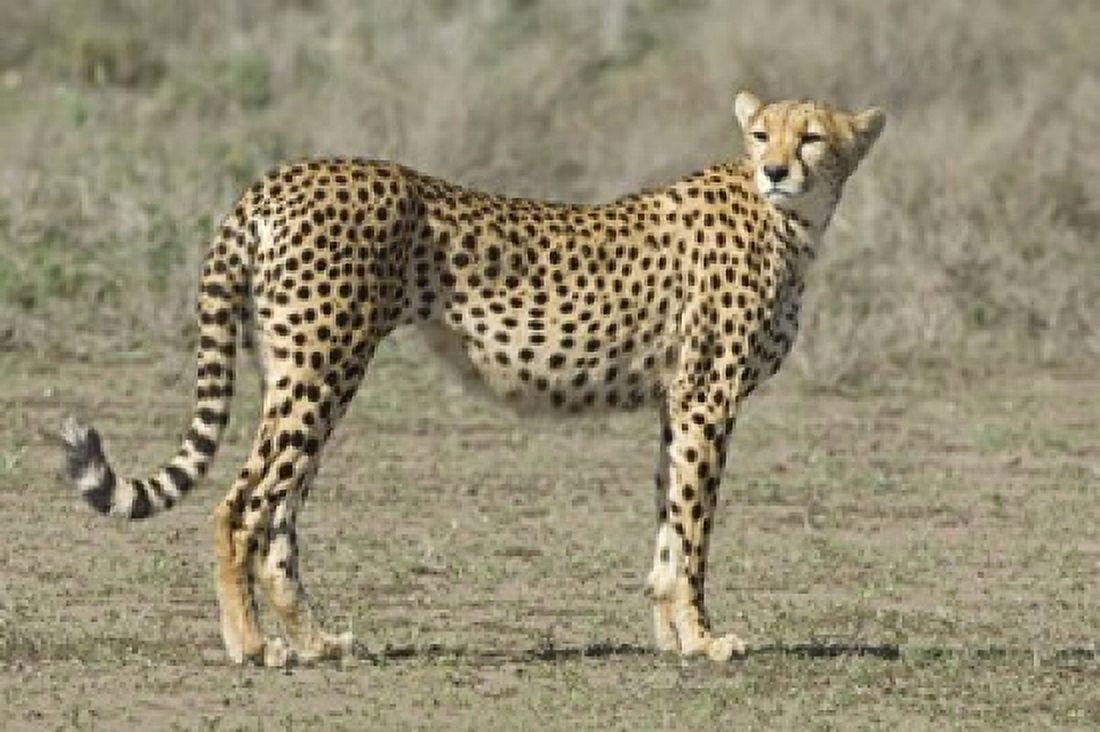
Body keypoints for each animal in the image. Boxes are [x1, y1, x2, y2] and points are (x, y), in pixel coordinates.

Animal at [58, 90, 884, 666]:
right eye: (761, 134)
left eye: (811, 136)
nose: (775, 170)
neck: (791, 223)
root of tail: (279, 177)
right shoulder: (709, 398)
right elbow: (694, 533)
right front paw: (706, 640)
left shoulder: (677, 404)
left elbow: (667, 524)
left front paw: (672, 637)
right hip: (322, 370)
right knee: (238, 508)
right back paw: (252, 646)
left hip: (302, 374)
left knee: (279, 521)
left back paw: (317, 643)